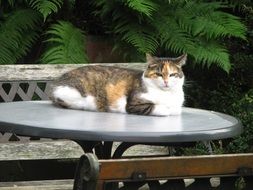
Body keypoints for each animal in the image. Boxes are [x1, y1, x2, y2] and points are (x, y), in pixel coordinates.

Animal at [50, 53, 187, 116]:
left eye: (172, 75)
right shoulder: (133, 104)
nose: (166, 82)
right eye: (158, 74)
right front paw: (166, 109)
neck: (166, 95)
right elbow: (159, 108)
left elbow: (177, 110)